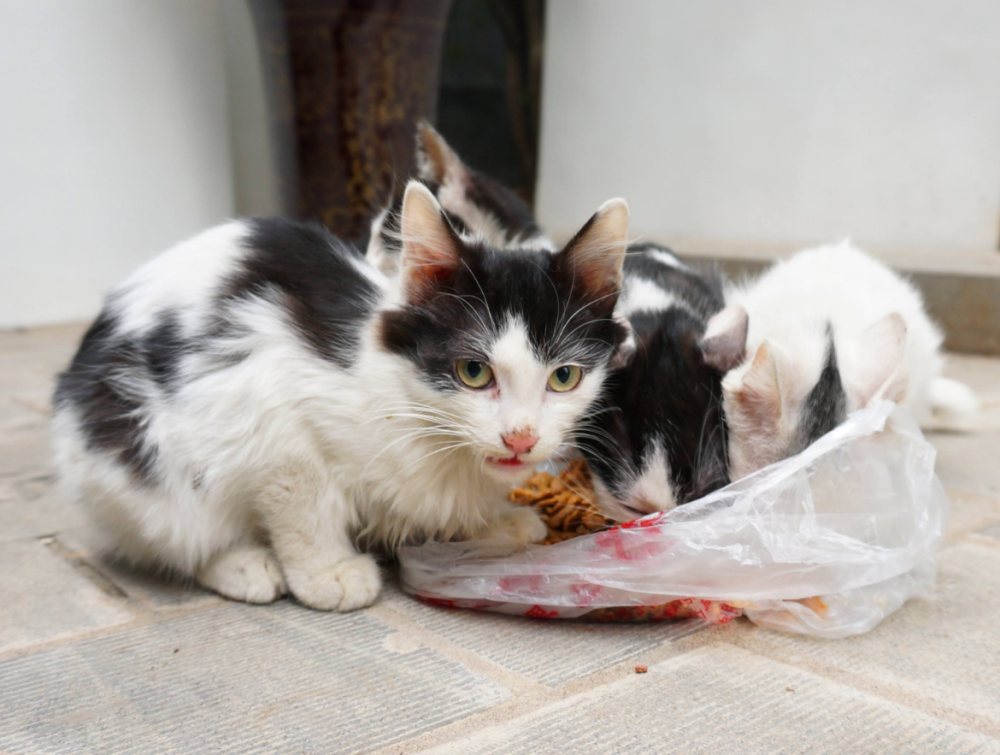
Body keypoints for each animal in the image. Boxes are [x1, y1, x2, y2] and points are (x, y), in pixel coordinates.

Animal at [50, 180, 628, 612]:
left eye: (564, 377)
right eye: (473, 371)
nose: (521, 438)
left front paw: (495, 521)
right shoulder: (268, 396)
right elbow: (300, 500)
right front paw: (326, 572)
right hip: (134, 460)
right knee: (176, 529)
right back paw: (240, 563)